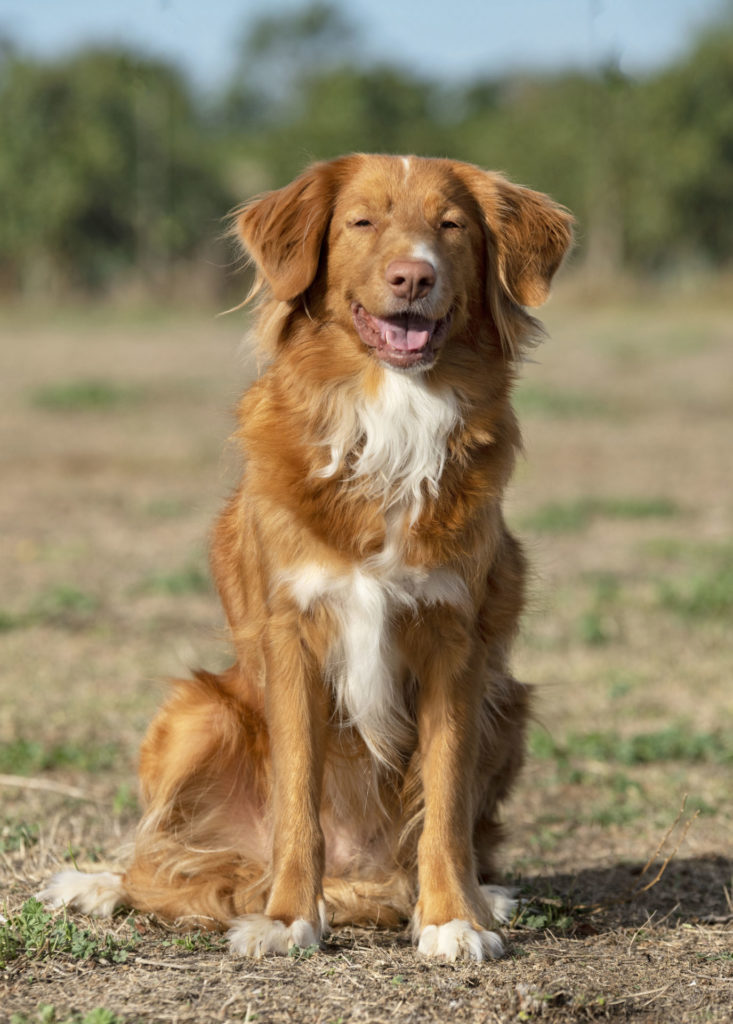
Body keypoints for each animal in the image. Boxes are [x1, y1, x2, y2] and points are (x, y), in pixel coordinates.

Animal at [40, 151, 577, 958]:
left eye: (451, 226)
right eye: (361, 222)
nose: (412, 277)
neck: (393, 415)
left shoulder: (454, 640)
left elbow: (444, 801)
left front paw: (452, 917)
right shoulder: (291, 635)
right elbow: (298, 798)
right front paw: (290, 917)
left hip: (507, 704)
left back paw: (479, 896)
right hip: (196, 711)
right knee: (163, 860)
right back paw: (108, 886)